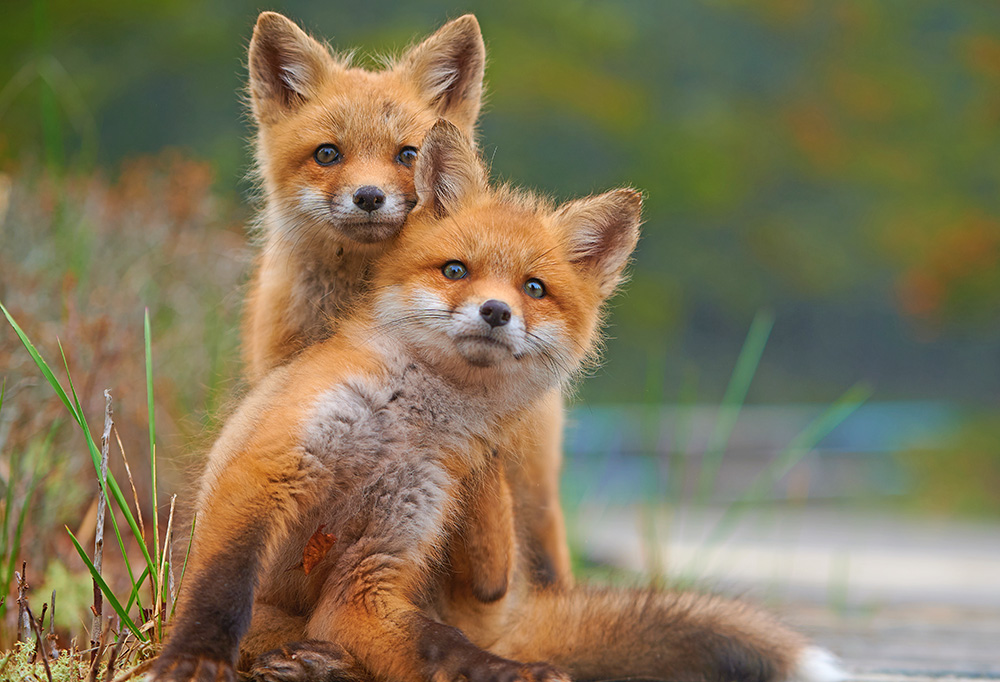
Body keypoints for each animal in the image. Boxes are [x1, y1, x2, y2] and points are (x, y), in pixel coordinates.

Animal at [156, 121, 844, 680]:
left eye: (533, 288)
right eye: (455, 271)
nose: (495, 311)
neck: (406, 424)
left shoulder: (375, 568)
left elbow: (441, 645)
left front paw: (506, 673)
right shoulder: (269, 470)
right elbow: (222, 588)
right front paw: (194, 660)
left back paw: (320, 662)